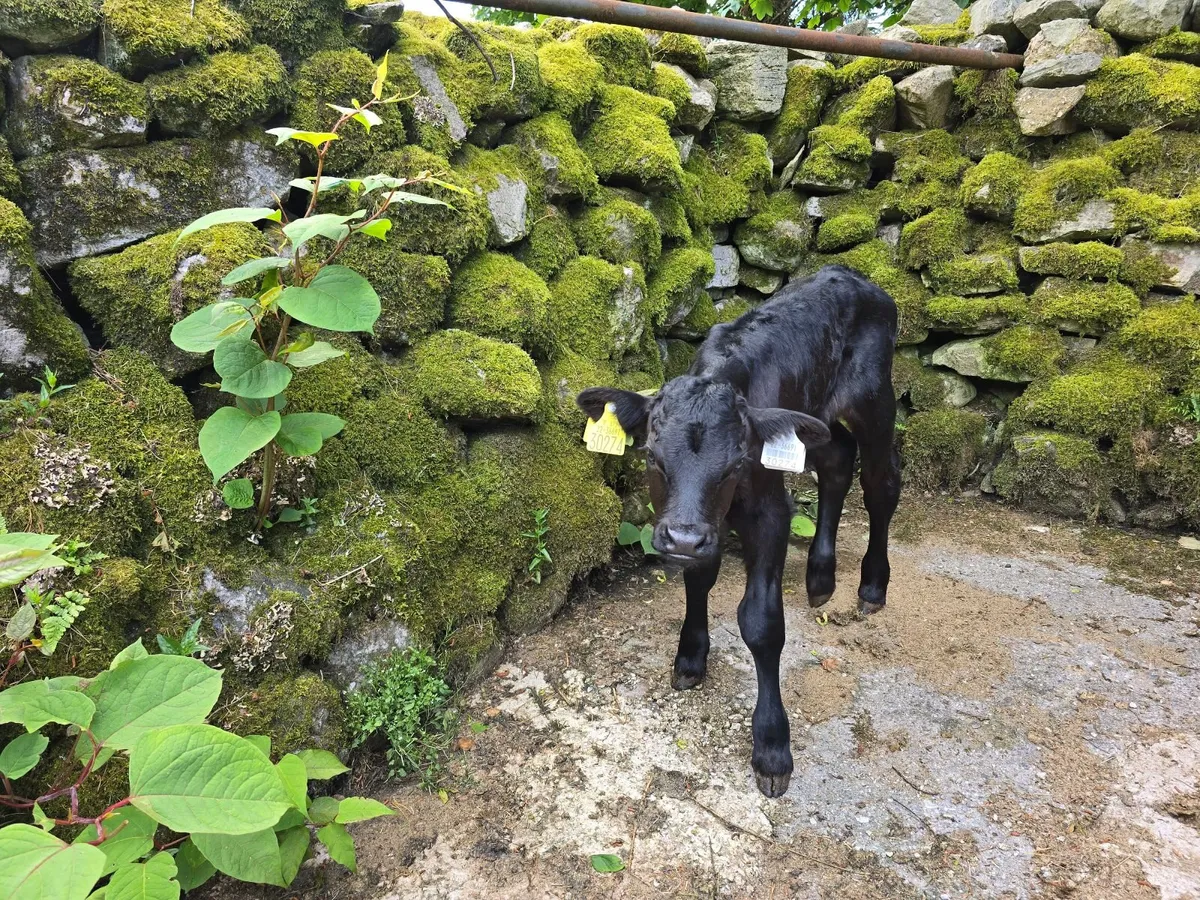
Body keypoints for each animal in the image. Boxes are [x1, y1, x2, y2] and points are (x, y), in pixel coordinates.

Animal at [577, 265, 900, 798]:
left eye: (735, 465)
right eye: (652, 457)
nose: (682, 539)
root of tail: (849, 273)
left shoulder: (769, 511)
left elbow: (761, 622)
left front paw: (771, 746)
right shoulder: (698, 525)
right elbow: (697, 582)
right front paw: (690, 657)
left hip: (875, 400)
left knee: (881, 481)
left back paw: (872, 584)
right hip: (813, 420)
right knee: (837, 460)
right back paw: (820, 577)